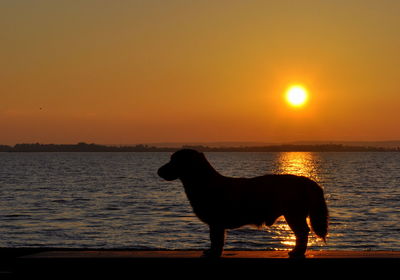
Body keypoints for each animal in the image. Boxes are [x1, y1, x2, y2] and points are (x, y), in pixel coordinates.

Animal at [157, 149, 328, 258]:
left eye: (174, 161)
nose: (158, 171)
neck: (205, 182)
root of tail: (306, 181)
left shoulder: (216, 223)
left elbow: (216, 240)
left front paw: (213, 254)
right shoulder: (216, 223)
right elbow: (215, 240)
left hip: (293, 215)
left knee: (302, 233)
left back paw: (297, 252)